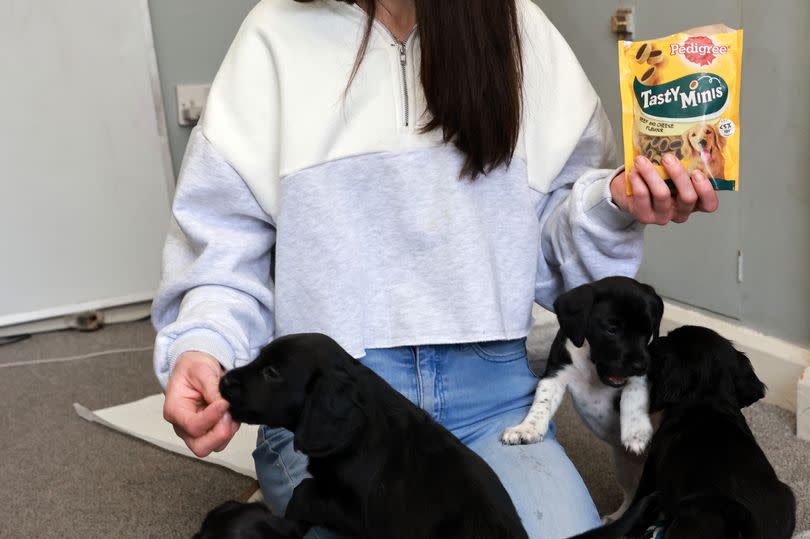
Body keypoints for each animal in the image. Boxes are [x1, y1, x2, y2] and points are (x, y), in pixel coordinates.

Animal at [498, 276, 664, 520]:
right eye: (612, 329)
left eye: (649, 332)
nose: (640, 365)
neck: (592, 365)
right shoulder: (556, 373)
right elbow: (542, 402)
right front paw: (527, 428)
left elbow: (634, 392)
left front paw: (636, 430)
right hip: (625, 467)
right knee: (631, 494)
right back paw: (616, 517)